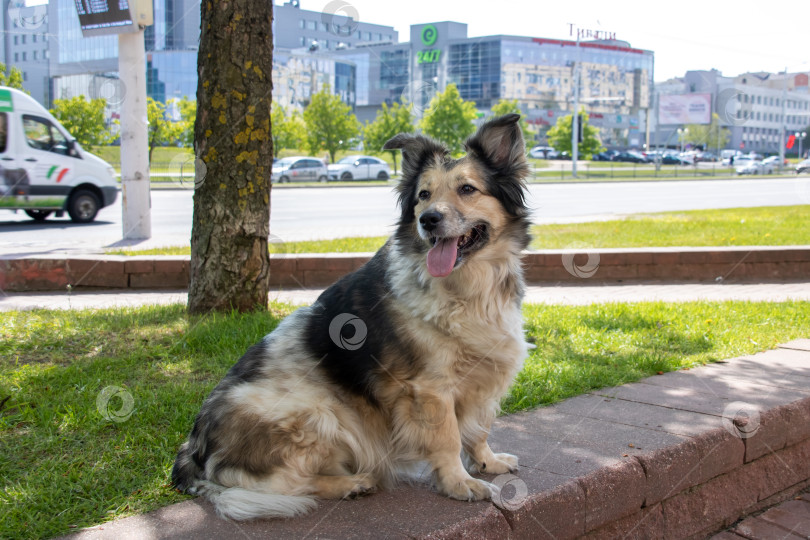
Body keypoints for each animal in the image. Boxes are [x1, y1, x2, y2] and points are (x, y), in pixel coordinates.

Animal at [172, 113, 532, 520]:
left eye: (468, 189)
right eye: (423, 195)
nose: (428, 220)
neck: (468, 289)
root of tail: (193, 451)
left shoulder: (487, 373)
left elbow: (480, 428)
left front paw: (487, 461)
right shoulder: (431, 390)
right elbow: (448, 439)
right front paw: (460, 483)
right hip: (319, 412)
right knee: (293, 484)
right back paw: (351, 483)